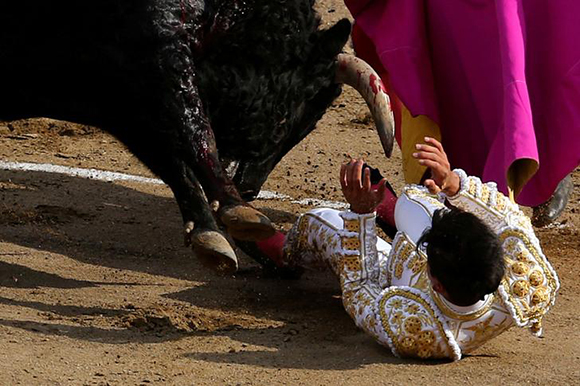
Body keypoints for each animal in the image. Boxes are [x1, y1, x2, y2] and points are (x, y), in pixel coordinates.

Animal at [0, 0, 392, 272]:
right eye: (287, 117)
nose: (250, 189)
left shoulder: (122, 99)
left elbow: (173, 158)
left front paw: (211, 231)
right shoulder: (157, 58)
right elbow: (195, 133)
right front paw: (238, 211)